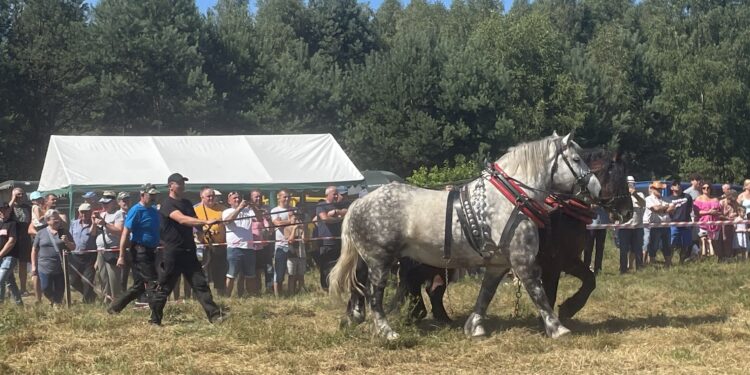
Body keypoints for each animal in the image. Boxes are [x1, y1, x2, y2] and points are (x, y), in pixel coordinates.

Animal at [332, 133, 604, 340]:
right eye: (576, 159)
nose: (596, 188)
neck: (510, 198)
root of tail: (357, 204)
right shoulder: (524, 261)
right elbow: (538, 292)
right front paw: (557, 328)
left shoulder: (497, 264)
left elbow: (486, 294)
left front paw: (475, 326)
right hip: (381, 261)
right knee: (374, 295)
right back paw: (386, 332)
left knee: (361, 288)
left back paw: (355, 318)